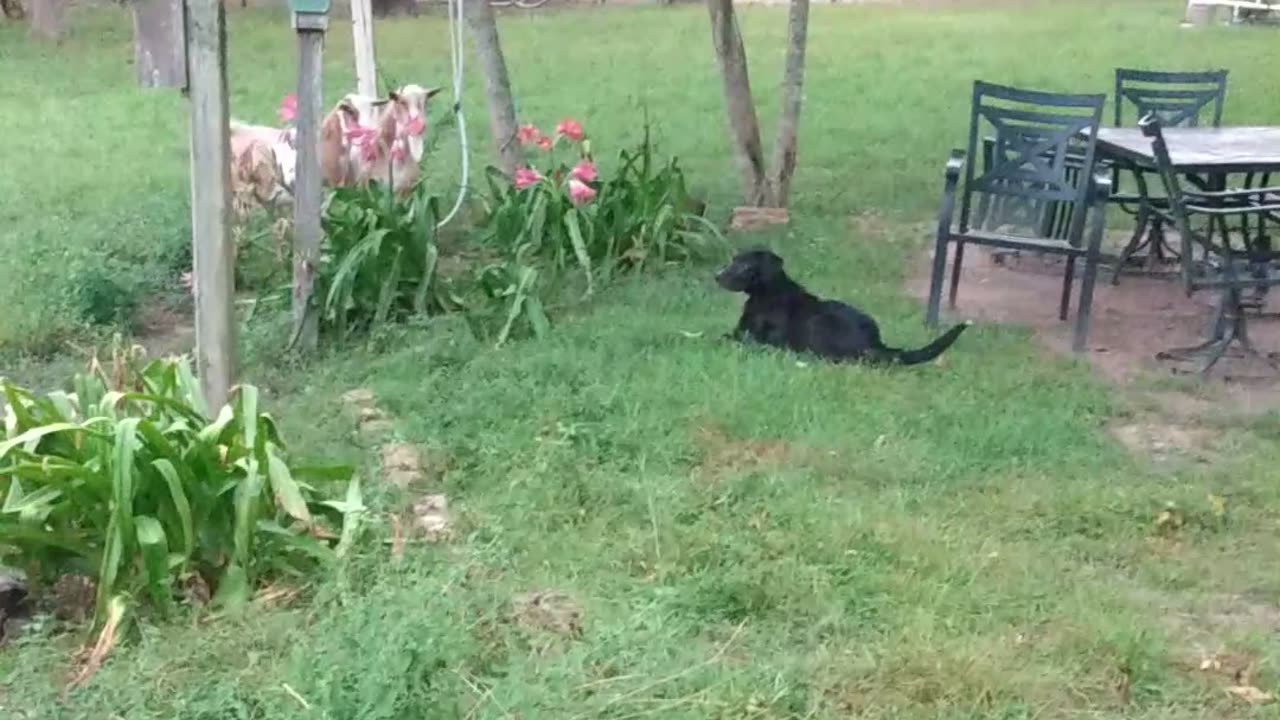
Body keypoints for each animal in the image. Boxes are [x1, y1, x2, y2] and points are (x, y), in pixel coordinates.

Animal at [721, 249, 967, 366]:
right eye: (733, 260)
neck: (766, 294)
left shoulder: (760, 338)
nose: (716, 276)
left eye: (744, 266)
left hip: (819, 322)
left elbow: (731, 339)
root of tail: (874, 344)